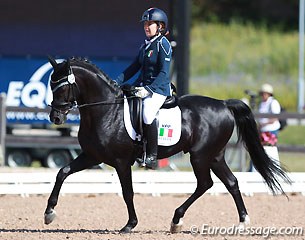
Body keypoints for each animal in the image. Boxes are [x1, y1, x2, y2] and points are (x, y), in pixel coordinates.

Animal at [44, 57, 288, 233]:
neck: (106, 110)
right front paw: (49, 212)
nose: (55, 117)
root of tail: (223, 104)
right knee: (231, 182)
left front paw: (130, 225)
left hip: (200, 155)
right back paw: (242, 221)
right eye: (51, 85)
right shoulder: (92, 156)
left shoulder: (121, 162)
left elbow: (127, 192)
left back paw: (176, 220)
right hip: (215, 156)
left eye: (61, 88)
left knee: (205, 183)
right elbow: (62, 172)